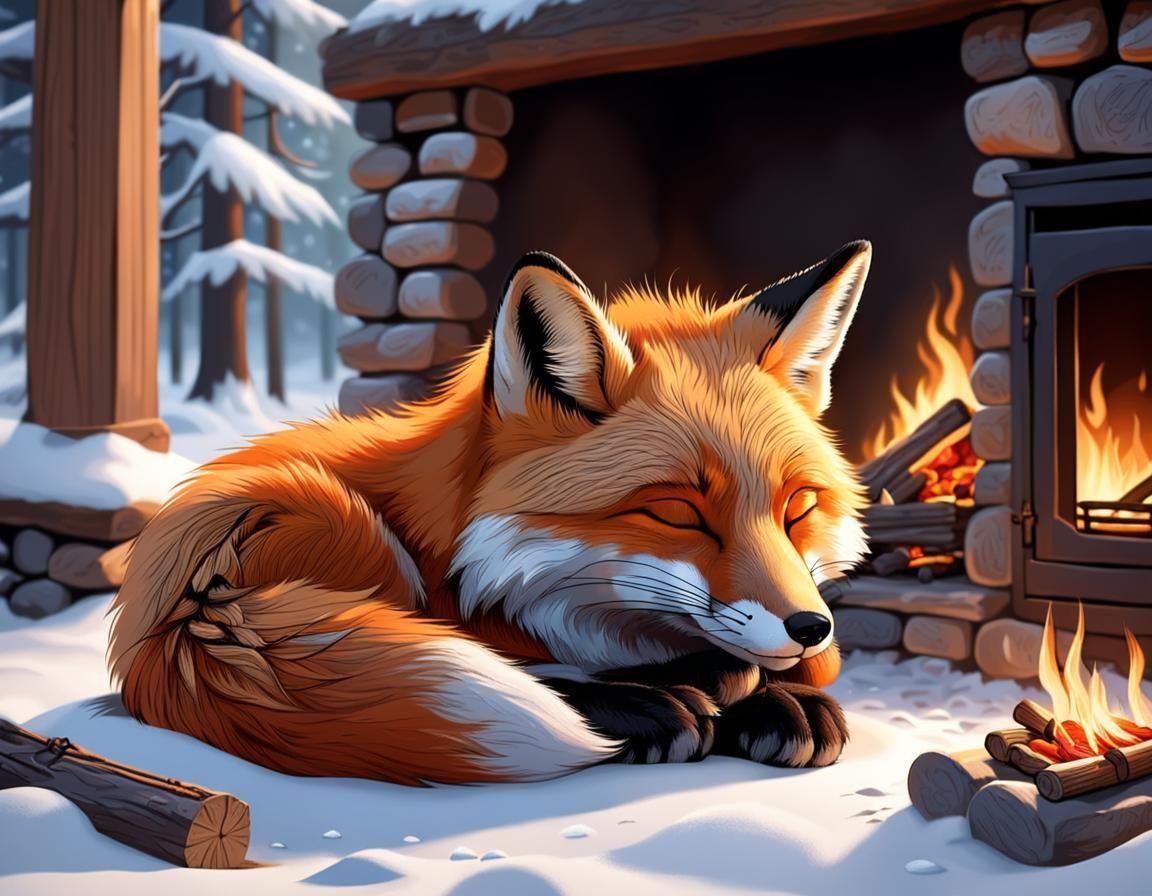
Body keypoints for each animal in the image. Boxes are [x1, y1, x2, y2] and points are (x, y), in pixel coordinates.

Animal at [108, 240, 872, 786]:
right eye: (678, 514)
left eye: (798, 507)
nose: (810, 627)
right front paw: (693, 691)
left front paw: (776, 696)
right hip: (341, 523)